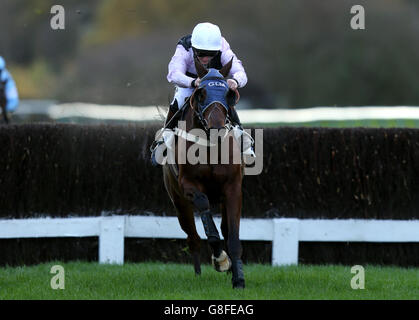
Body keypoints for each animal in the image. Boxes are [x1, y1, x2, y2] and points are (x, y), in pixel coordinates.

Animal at [161, 58, 246, 290]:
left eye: (228, 94)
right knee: (193, 238)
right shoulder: (189, 186)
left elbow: (232, 236)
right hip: (179, 203)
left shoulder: (233, 188)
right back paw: (198, 273)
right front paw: (221, 260)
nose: (217, 128)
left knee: (224, 228)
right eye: (201, 94)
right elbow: (206, 216)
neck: (210, 148)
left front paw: (238, 279)